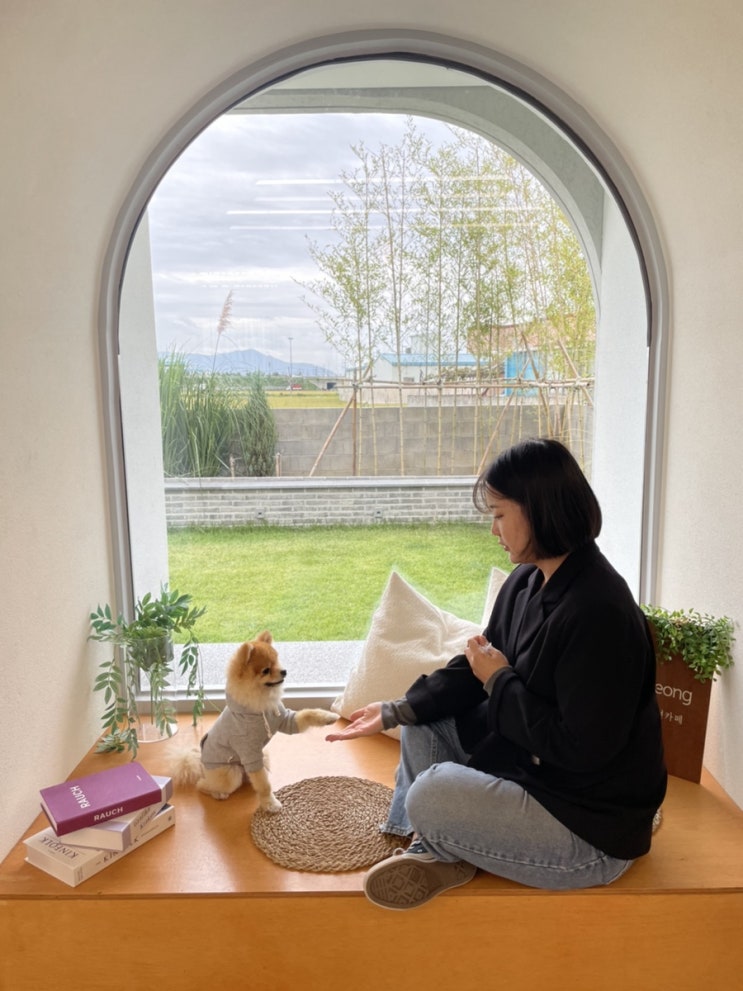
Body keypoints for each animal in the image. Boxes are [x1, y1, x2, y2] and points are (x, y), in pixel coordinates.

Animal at [170, 630, 338, 812]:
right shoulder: (250, 753)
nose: (284, 671)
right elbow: (264, 784)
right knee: (203, 784)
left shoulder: (285, 720)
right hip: (230, 773)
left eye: (277, 661)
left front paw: (329, 717)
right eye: (266, 670)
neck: (261, 705)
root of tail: (201, 764)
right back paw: (217, 792)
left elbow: (308, 714)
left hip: (264, 756)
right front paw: (270, 804)